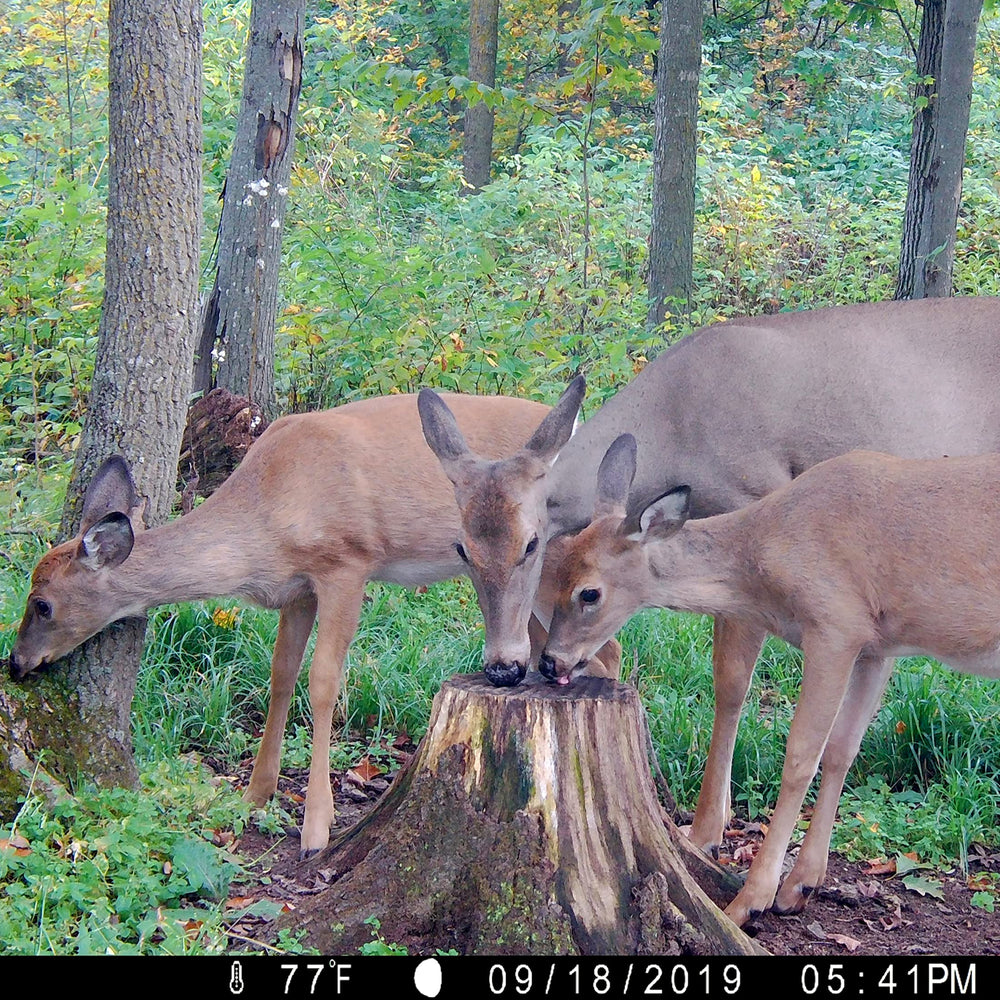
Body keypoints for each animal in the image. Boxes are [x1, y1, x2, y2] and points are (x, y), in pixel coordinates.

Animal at [8, 391, 619, 858]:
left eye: (42, 604)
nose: (15, 664)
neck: (266, 519)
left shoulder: (346, 564)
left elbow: (323, 681)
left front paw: (316, 828)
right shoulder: (296, 588)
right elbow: (281, 674)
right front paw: (254, 796)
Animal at [417, 295, 1000, 857]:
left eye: (532, 542)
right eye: (461, 548)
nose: (503, 669)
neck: (675, 428)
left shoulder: (755, 503)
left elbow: (731, 682)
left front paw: (704, 830)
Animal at [540, 433, 1000, 927]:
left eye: (589, 592)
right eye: (558, 571)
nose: (549, 662)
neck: (767, 551)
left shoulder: (835, 624)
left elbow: (799, 758)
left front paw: (754, 898)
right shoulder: (877, 645)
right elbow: (841, 751)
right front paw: (802, 884)